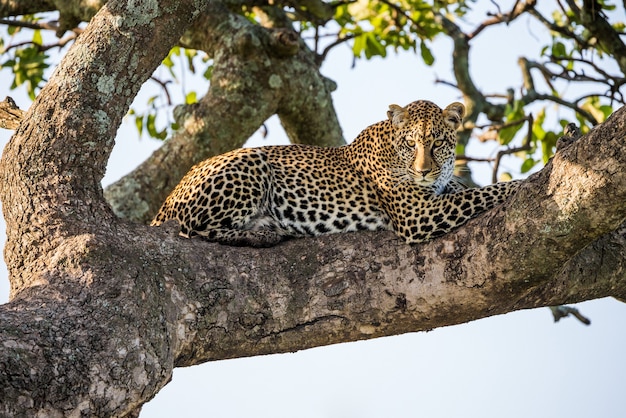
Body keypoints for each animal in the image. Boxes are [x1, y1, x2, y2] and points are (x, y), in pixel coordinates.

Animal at [150, 100, 516, 247]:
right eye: (411, 144)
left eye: (438, 142)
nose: (424, 171)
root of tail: (166, 201)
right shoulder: (417, 215)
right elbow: (481, 193)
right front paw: (520, 185)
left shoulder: (436, 195)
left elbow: (463, 189)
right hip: (251, 161)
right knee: (194, 229)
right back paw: (265, 234)